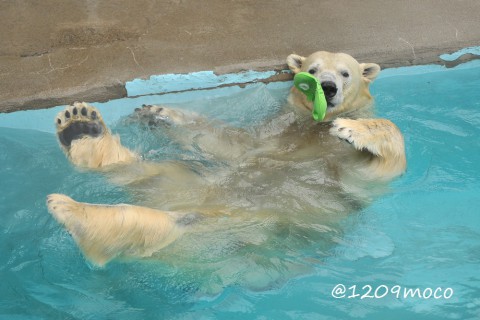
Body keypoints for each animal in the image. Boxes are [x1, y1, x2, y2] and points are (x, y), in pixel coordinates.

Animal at [47, 51, 404, 274]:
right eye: (312, 70)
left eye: (345, 73)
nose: (327, 88)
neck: (311, 128)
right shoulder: (273, 132)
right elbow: (233, 146)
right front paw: (157, 112)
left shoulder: (340, 168)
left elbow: (373, 168)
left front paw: (353, 129)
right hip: (188, 185)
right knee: (150, 174)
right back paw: (81, 130)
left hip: (246, 232)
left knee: (178, 223)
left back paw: (80, 215)